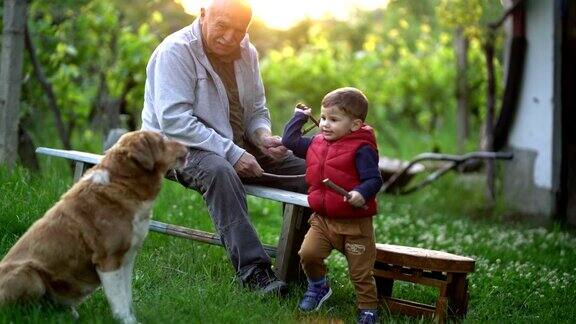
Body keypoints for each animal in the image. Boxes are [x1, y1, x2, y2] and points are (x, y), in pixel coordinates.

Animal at [0, 130, 187, 322]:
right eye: (162, 141)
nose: (187, 147)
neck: (122, 182)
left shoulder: (127, 259)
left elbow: (127, 299)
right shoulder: (108, 260)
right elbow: (120, 303)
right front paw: (126, 321)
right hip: (29, 275)